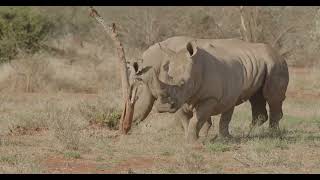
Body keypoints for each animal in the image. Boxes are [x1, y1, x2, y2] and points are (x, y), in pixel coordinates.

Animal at [131, 36, 290, 143]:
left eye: (183, 83)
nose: (163, 107)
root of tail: (279, 54)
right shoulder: (181, 98)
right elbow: (187, 118)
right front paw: (192, 138)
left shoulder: (207, 96)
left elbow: (197, 118)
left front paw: (193, 141)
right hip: (255, 65)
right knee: (255, 97)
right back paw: (249, 134)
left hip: (275, 64)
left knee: (271, 98)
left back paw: (272, 135)